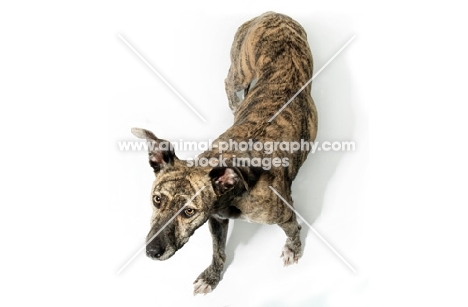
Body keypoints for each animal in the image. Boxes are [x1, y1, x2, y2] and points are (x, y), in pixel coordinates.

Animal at [132, 11, 318, 296]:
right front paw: (212, 276)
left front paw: (293, 249)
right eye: (156, 199)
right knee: (230, 81)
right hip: (242, 68)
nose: (152, 252)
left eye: (189, 211)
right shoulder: (216, 220)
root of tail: (273, 13)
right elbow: (218, 251)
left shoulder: (285, 214)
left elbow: (293, 231)